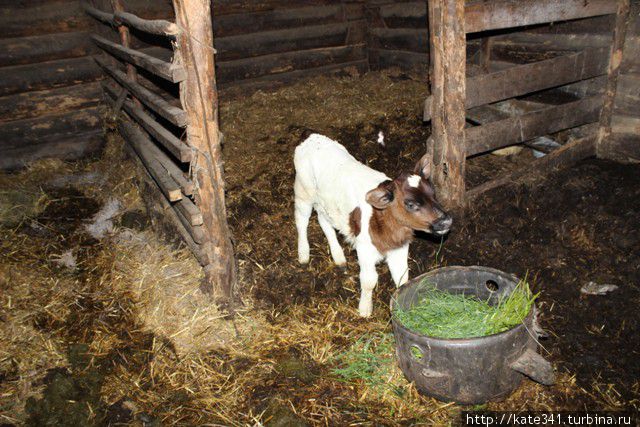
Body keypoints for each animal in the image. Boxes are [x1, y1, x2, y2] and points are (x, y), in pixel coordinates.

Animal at [294, 134, 450, 318]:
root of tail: (312, 138)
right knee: (301, 220)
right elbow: (369, 280)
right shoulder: (364, 249)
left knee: (324, 221)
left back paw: (338, 257)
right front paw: (365, 309)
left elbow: (402, 276)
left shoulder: (399, 247)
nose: (446, 221)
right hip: (303, 192)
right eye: (410, 204)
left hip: (326, 204)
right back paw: (303, 253)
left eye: (433, 193)